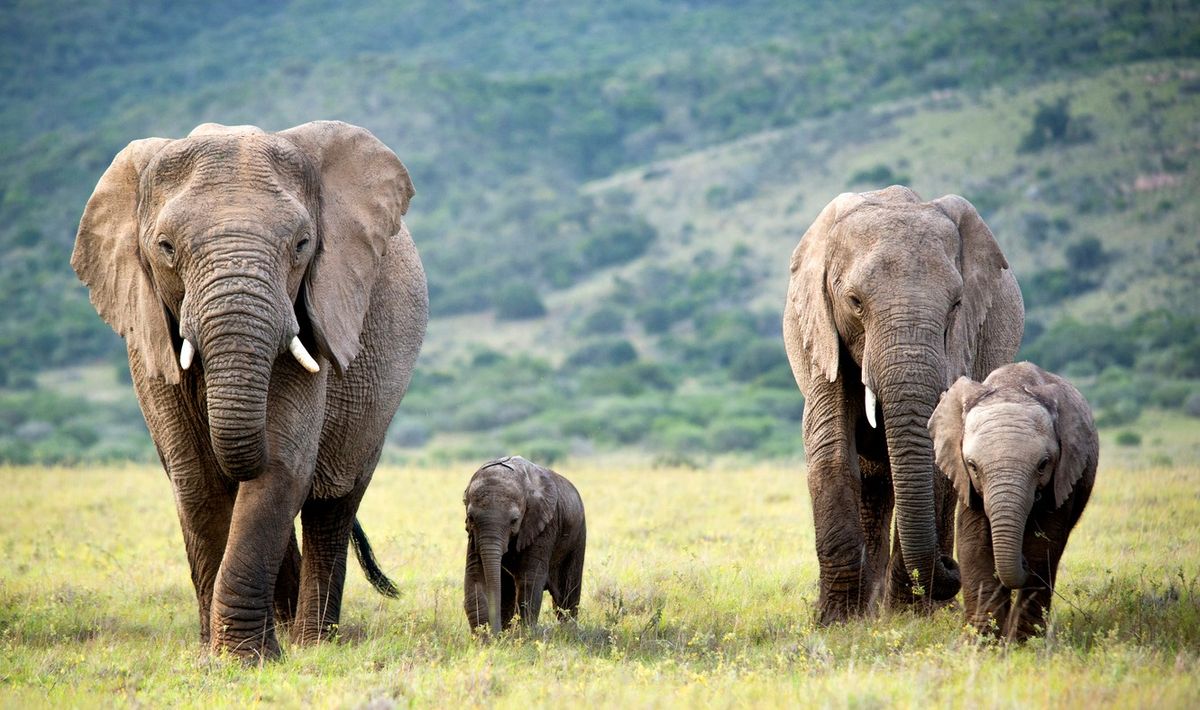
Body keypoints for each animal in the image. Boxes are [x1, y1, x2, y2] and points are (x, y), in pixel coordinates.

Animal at [71, 121, 428, 660]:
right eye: (165, 247)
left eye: (302, 244)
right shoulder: (147, 330)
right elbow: (197, 477)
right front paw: (215, 656)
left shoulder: (314, 312)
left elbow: (281, 465)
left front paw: (245, 658)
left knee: (331, 504)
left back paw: (311, 643)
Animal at [462, 456, 586, 635]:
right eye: (470, 518)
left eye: (514, 520)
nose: (497, 634)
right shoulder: (473, 536)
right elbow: (476, 576)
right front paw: (486, 638)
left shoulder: (544, 524)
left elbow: (529, 578)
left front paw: (522, 636)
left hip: (578, 534)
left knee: (567, 594)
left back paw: (569, 632)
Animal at [782, 185, 1024, 624]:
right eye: (854, 302)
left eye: (956, 304)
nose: (951, 566)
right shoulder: (821, 334)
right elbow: (830, 450)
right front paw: (835, 622)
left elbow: (940, 458)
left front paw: (908, 618)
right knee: (873, 478)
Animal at [929, 361, 1097, 641]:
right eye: (972, 466)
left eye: (1043, 465)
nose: (1022, 561)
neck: (1012, 387)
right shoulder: (967, 484)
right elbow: (975, 544)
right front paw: (983, 641)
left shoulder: (1063, 477)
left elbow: (1043, 547)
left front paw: (1023, 643)